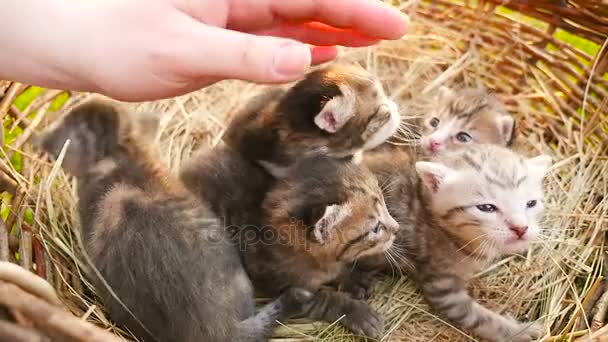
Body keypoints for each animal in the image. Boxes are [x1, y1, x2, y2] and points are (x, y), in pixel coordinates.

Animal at [240, 154, 402, 340]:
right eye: (375, 228)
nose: (397, 228)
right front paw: (358, 313)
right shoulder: (280, 284)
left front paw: (353, 277)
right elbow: (325, 299)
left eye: (385, 204)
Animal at [360, 144, 552, 342]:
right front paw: (518, 331)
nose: (521, 228)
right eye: (486, 208)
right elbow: (480, 318)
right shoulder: (441, 286)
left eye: (531, 203)